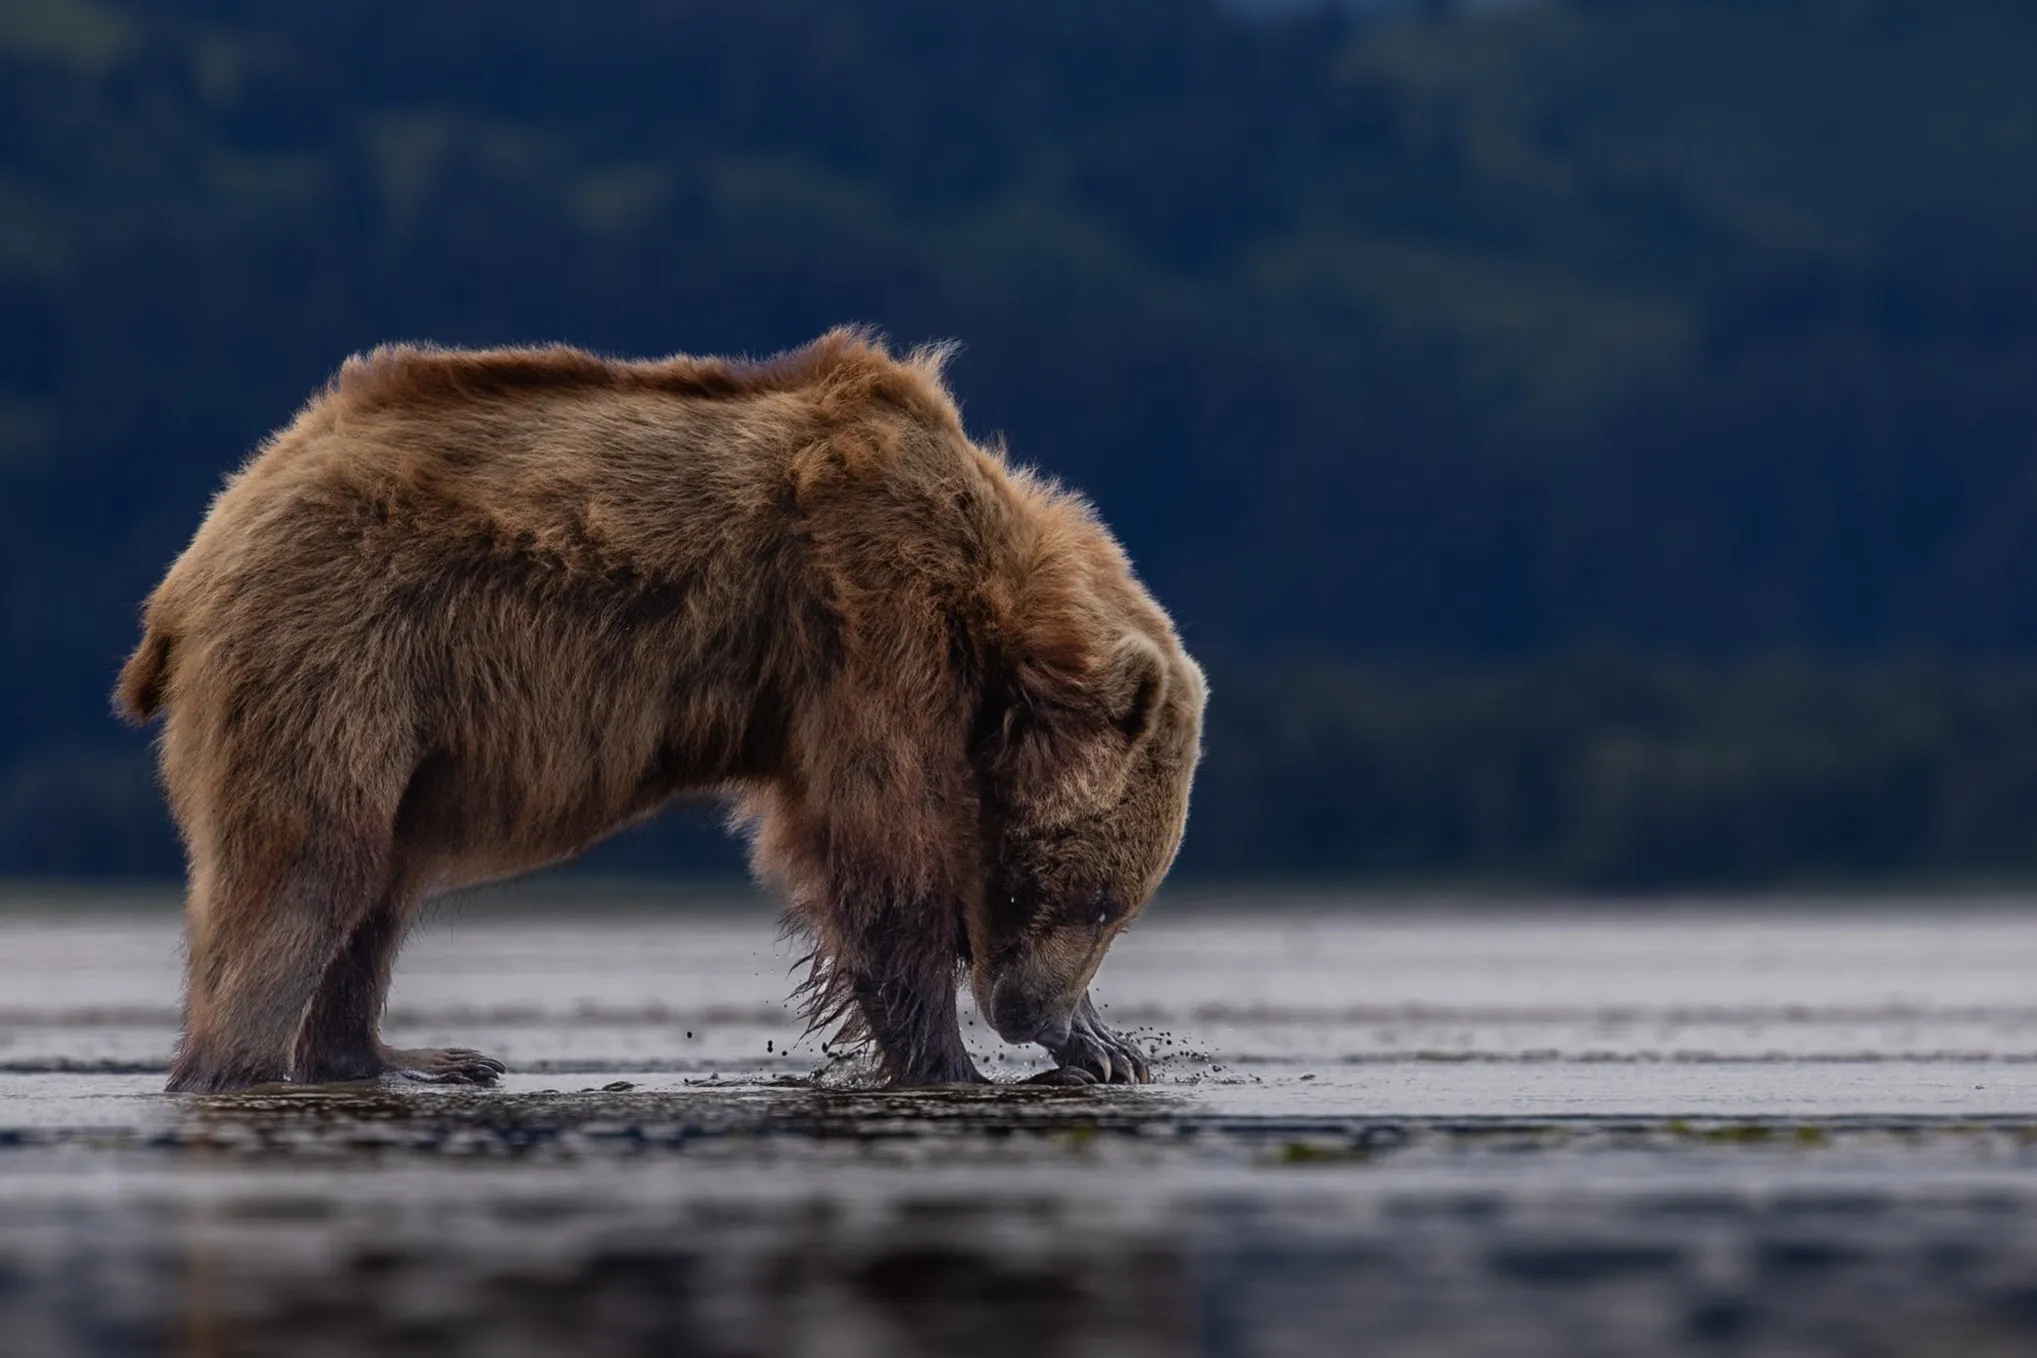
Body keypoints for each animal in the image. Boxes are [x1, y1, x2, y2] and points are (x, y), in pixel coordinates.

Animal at [115, 328, 1205, 1094]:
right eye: (1096, 896)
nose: (1027, 1011)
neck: (1003, 612)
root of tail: (201, 547)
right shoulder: (869, 613)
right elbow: (881, 846)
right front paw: (951, 1062)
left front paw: (1108, 1045)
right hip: (336, 648)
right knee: (310, 865)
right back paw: (241, 1061)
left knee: (383, 877)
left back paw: (403, 1055)